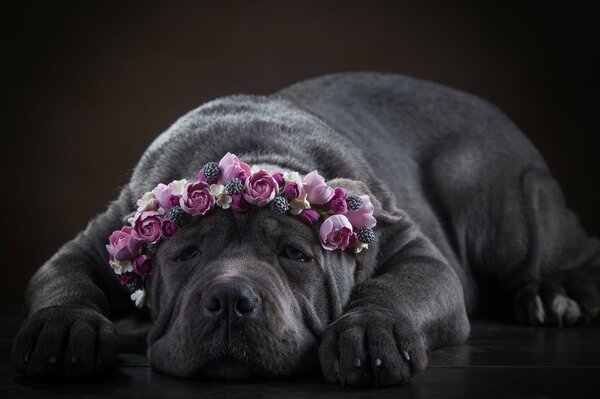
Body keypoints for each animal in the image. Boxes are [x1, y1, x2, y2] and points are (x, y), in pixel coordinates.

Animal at [10, 72, 600, 388]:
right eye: (186, 255)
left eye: (296, 256)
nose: (230, 300)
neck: (249, 152)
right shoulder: (93, 244)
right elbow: (66, 281)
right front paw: (65, 329)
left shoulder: (416, 252)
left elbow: (397, 286)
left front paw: (372, 331)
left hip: (496, 204)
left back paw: (555, 295)